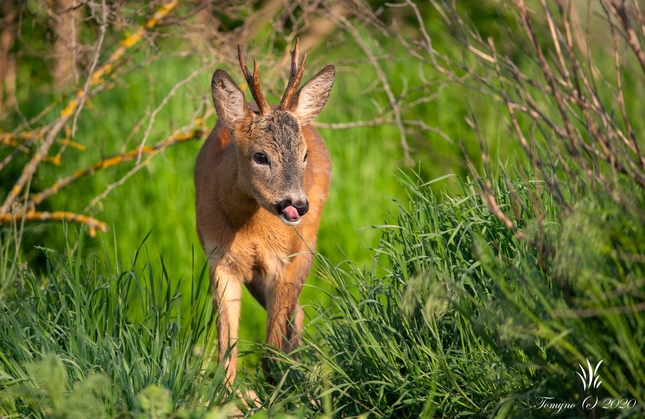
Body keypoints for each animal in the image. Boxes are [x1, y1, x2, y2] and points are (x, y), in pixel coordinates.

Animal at [194, 41, 334, 386]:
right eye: (261, 156)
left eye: (304, 155)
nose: (297, 205)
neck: (251, 230)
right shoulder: (219, 259)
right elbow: (226, 349)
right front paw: (226, 394)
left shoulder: (284, 262)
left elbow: (271, 346)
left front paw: (274, 390)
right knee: (297, 313)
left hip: (306, 249)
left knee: (292, 315)